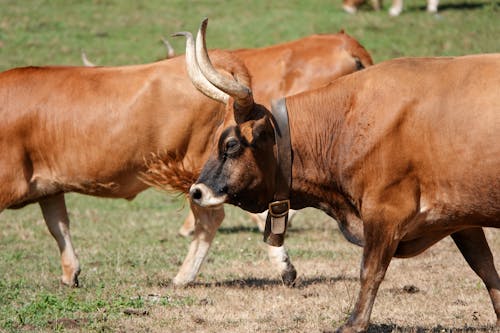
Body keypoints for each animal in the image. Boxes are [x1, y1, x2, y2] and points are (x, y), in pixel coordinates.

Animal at [0, 27, 372, 286]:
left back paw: (187, 276)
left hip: (199, 167)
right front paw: (70, 273)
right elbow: (58, 225)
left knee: (213, 217)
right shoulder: (50, 187)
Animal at [187, 19, 500, 330]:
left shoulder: (385, 212)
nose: (197, 191)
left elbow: (370, 270)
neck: (347, 120)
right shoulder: (462, 218)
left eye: (231, 144)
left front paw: (354, 323)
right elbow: (486, 269)